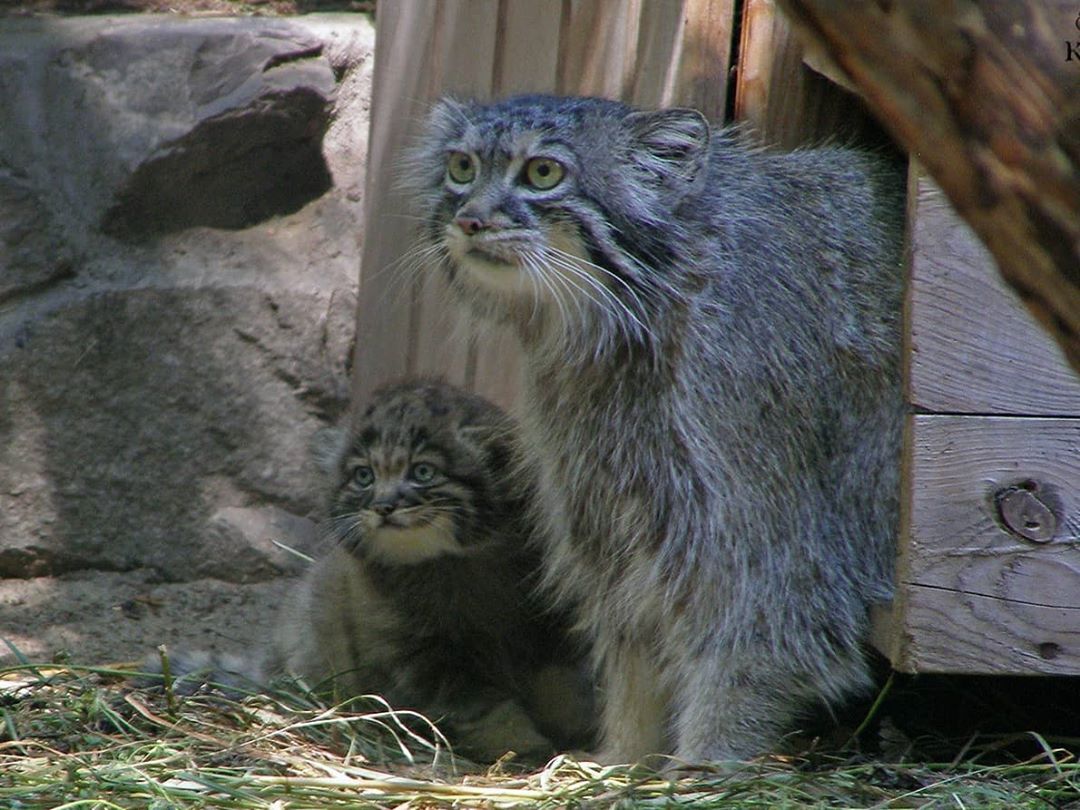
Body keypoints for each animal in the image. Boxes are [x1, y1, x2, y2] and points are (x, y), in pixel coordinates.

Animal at [267, 380, 591, 760]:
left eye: (423, 472)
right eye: (364, 476)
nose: (383, 506)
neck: (456, 564)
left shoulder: (546, 627)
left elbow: (560, 683)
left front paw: (581, 730)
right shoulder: (426, 656)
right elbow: (483, 709)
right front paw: (520, 746)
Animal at [406, 95, 902, 768]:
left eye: (542, 172)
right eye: (461, 167)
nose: (470, 221)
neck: (639, 311)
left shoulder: (763, 518)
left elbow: (762, 630)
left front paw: (704, 761)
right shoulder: (602, 489)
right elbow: (632, 636)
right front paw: (624, 756)